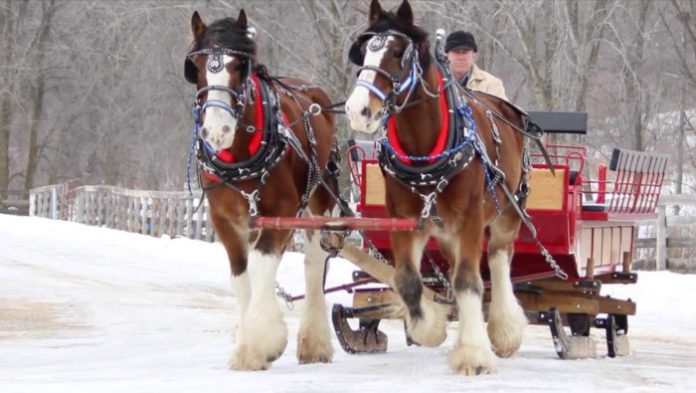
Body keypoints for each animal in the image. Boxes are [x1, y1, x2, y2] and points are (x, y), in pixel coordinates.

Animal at [185, 9, 338, 370]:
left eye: (240, 66)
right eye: (196, 66)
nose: (218, 129)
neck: (242, 155)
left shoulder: (281, 211)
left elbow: (261, 263)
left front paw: (259, 342)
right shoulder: (224, 219)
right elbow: (242, 275)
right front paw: (246, 341)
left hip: (320, 199)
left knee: (314, 262)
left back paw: (315, 341)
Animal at [346, 0, 532, 374]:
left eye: (399, 52)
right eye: (365, 50)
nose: (358, 110)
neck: (424, 150)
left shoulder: (471, 219)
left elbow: (469, 281)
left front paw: (474, 353)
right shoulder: (405, 219)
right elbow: (406, 278)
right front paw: (428, 326)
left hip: (506, 212)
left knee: (499, 259)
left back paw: (504, 330)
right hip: (446, 230)